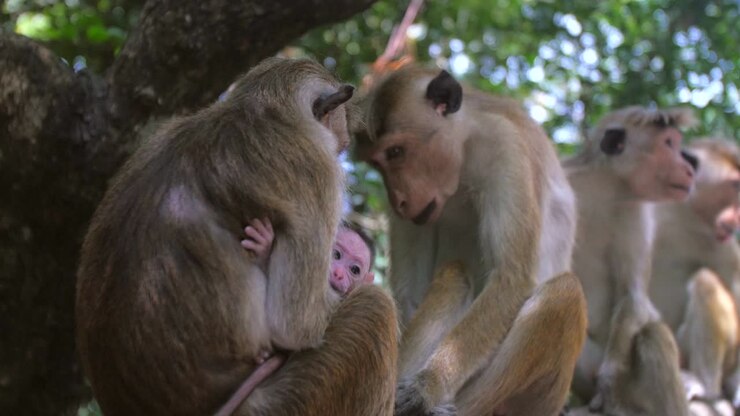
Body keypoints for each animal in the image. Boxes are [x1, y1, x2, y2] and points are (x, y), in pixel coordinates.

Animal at [75, 57, 398, 416]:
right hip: (285, 404)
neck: (261, 109)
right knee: (376, 307)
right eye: (337, 145)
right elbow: (296, 326)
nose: (341, 274)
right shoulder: (317, 170)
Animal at [355, 65, 587, 416]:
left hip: (539, 397)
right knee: (453, 275)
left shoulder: (504, 147)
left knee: (564, 293)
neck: (465, 148)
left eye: (396, 152)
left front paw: (428, 388)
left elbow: (511, 279)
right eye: (376, 164)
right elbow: (412, 294)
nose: (399, 202)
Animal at [563, 106, 698, 415]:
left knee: (652, 334)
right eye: (668, 144)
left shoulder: (636, 212)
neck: (607, 187)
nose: (689, 169)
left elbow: (631, 293)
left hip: (634, 391)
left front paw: (608, 380)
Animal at [649, 138, 740, 410]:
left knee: (705, 281)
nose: (738, 215)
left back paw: (704, 385)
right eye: (735, 185)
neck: (680, 214)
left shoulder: (723, 247)